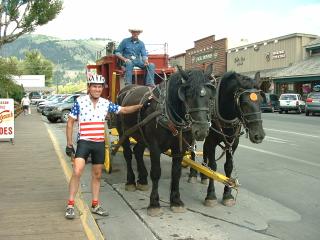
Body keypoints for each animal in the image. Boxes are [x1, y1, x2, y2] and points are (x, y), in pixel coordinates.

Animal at [115, 64, 215, 217]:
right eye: (188, 95)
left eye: (210, 96)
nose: (202, 130)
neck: (167, 113)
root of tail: (125, 90)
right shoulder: (154, 146)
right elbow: (156, 172)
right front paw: (154, 204)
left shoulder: (179, 148)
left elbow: (176, 173)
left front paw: (176, 201)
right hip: (123, 132)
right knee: (128, 154)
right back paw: (131, 181)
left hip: (141, 135)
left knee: (137, 151)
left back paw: (142, 180)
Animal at [190, 71, 264, 206]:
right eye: (244, 103)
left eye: (261, 100)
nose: (259, 135)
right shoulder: (211, 141)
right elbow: (213, 166)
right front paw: (211, 195)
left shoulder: (233, 143)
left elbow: (228, 166)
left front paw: (228, 194)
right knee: (192, 149)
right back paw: (193, 174)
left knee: (204, 151)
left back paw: (203, 176)